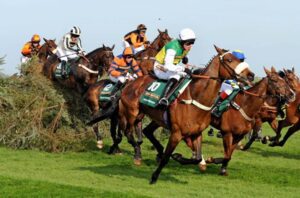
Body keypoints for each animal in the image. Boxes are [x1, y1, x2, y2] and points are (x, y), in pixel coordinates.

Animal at [118, 45, 254, 184]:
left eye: (239, 59)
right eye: (229, 60)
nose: (251, 75)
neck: (195, 97)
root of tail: (131, 82)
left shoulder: (197, 133)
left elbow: (198, 158)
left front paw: (179, 157)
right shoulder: (177, 133)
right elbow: (167, 157)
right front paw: (154, 177)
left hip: (154, 118)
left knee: (146, 131)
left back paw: (156, 151)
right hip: (132, 112)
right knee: (128, 132)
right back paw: (138, 154)